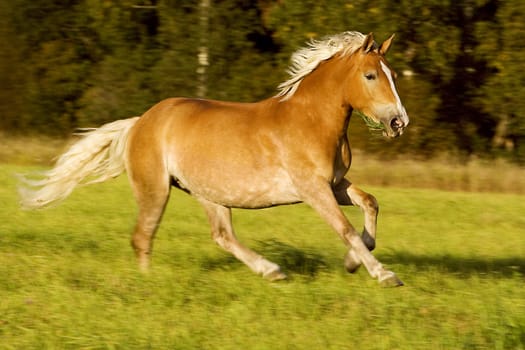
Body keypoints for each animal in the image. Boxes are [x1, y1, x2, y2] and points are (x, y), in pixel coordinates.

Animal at [20, 30, 410, 288]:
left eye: (392, 75)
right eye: (370, 75)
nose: (398, 122)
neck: (311, 120)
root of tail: (140, 122)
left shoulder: (334, 184)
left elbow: (370, 203)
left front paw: (353, 262)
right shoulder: (313, 189)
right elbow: (345, 229)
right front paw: (384, 274)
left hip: (209, 193)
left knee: (222, 236)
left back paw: (272, 271)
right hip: (155, 190)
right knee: (143, 236)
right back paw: (149, 284)